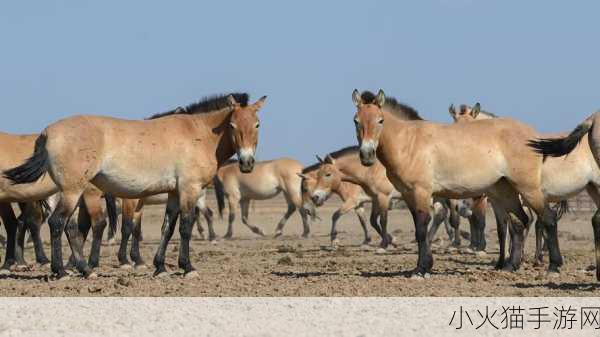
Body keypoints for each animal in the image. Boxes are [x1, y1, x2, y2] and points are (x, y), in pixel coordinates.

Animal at [4, 92, 266, 278]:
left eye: (257, 124)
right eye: (232, 125)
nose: (246, 162)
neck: (200, 133)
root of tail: (47, 132)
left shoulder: (174, 192)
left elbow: (168, 227)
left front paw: (160, 267)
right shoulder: (189, 189)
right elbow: (185, 227)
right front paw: (187, 267)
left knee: (69, 227)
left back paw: (83, 268)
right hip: (72, 191)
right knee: (58, 223)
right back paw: (63, 271)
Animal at [352, 88, 556, 276]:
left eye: (380, 120)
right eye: (356, 121)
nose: (367, 155)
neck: (409, 142)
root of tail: (533, 135)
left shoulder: (422, 192)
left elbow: (422, 228)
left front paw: (421, 269)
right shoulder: (409, 195)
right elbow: (420, 229)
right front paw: (423, 265)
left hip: (528, 189)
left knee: (547, 218)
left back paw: (553, 266)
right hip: (505, 193)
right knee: (519, 223)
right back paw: (510, 265)